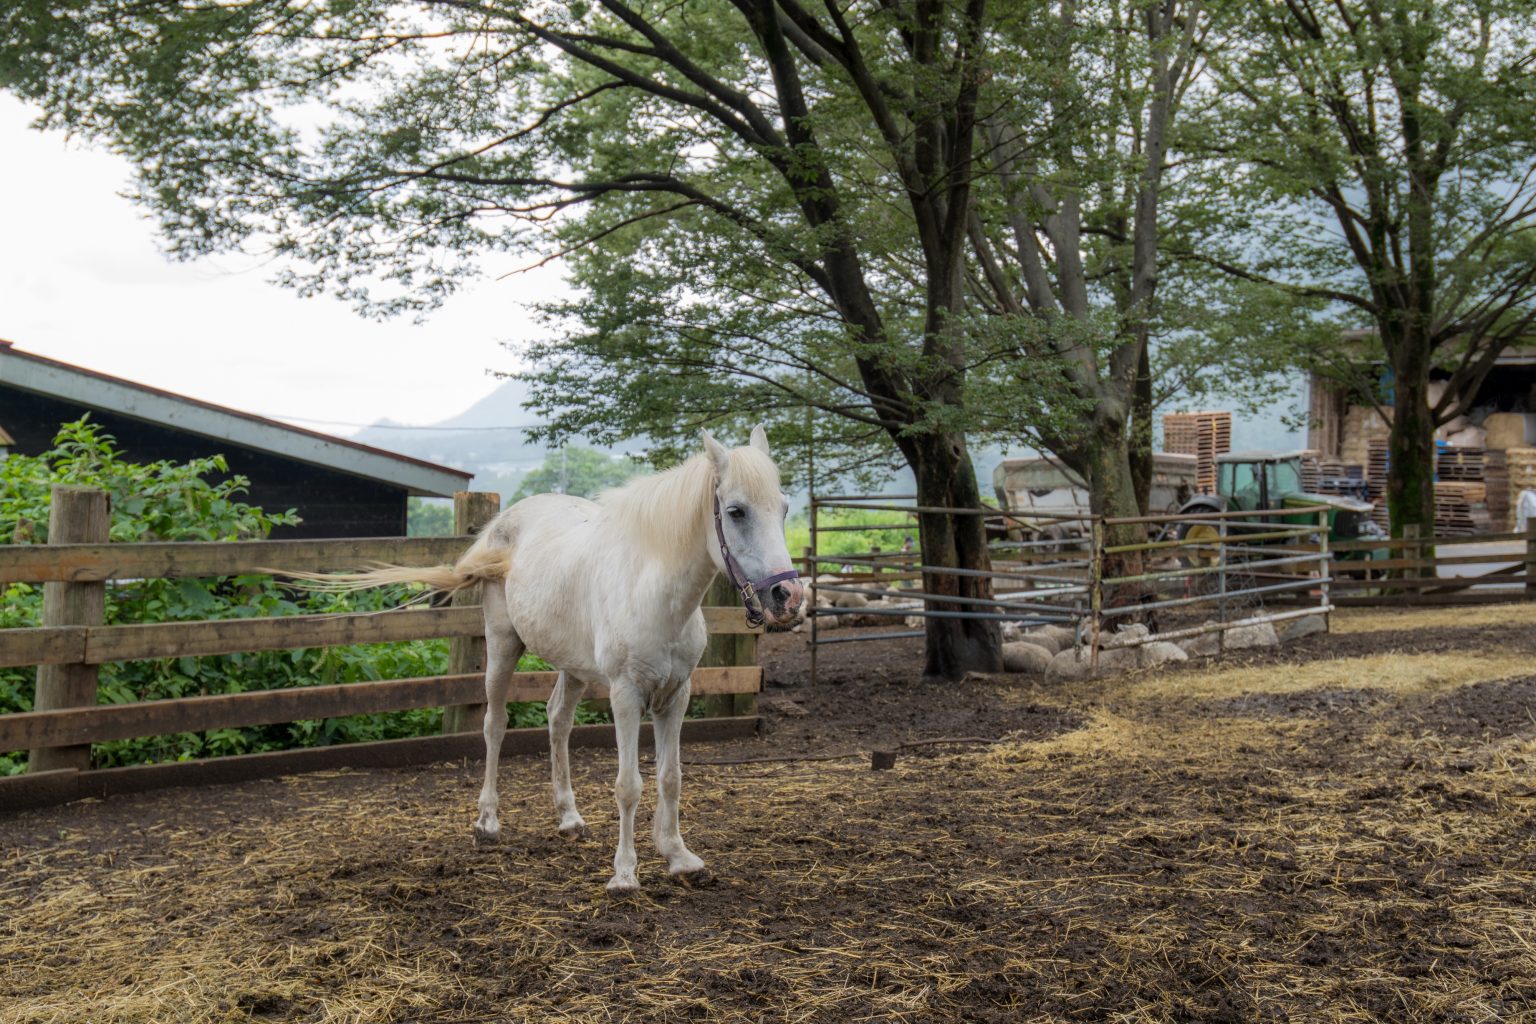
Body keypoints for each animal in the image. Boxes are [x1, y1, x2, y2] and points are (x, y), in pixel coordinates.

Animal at [296, 429, 804, 890]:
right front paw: (625, 874)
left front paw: (678, 856)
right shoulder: (626, 695)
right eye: (736, 511)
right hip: (502, 646)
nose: (789, 596)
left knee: (558, 719)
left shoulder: (676, 694)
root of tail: (500, 527)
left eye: (783, 508)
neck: (653, 590)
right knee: (495, 724)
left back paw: (569, 817)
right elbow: (629, 785)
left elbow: (671, 777)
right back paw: (488, 822)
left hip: (572, 666)